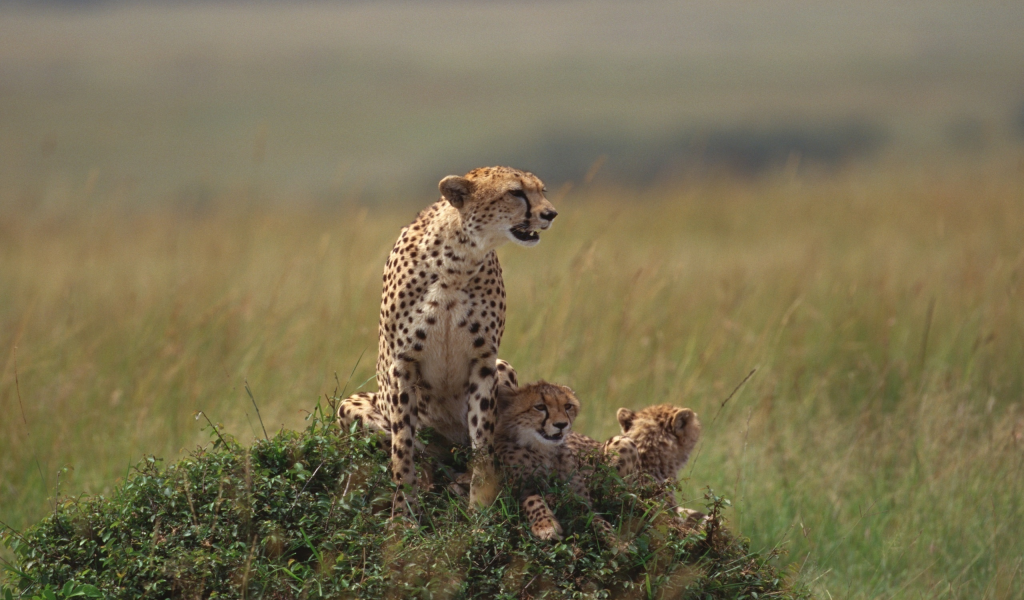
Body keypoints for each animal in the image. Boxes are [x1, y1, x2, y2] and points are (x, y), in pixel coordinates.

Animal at [495, 380, 614, 540]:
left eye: (567, 406)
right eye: (540, 407)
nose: (561, 424)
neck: (545, 451)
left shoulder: (584, 503)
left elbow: (602, 522)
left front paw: (619, 542)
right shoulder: (514, 493)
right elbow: (533, 500)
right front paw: (546, 526)